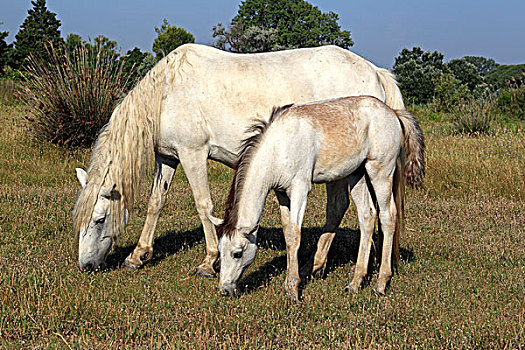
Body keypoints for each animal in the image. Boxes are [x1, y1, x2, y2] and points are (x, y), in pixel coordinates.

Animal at [70, 43, 406, 274]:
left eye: (99, 219)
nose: (85, 265)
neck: (166, 92)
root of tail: (374, 71)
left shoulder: (193, 154)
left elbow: (203, 205)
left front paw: (209, 262)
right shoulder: (167, 158)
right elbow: (156, 204)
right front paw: (138, 255)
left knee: (339, 207)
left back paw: (318, 265)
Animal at [207, 95, 424, 300]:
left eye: (237, 253)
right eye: (220, 250)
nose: (225, 290)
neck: (278, 146)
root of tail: (394, 113)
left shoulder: (300, 188)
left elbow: (295, 234)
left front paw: (293, 288)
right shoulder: (281, 193)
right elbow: (287, 233)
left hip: (380, 172)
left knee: (388, 217)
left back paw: (380, 283)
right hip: (357, 175)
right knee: (367, 217)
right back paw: (355, 283)